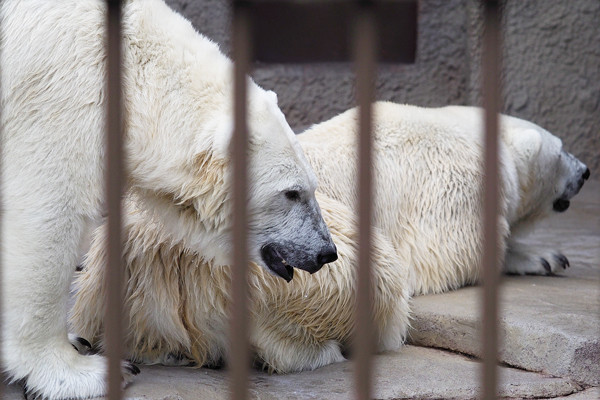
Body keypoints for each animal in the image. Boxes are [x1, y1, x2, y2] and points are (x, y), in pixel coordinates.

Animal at [0, 1, 338, 398]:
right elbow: (46, 216)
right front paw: (80, 371)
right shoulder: (57, 99)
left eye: (312, 186)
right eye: (291, 192)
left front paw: (76, 343)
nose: (326, 251)